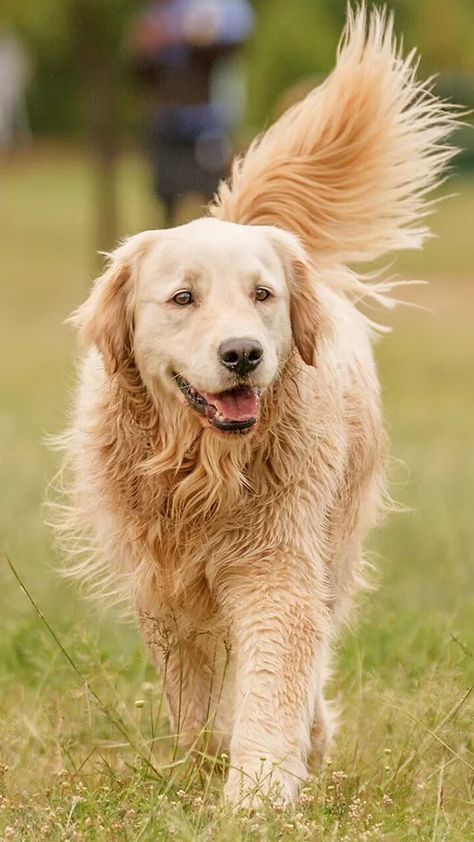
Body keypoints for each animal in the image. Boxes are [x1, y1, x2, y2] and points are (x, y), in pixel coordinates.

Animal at [53, 6, 458, 804]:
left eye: (263, 294)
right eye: (183, 298)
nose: (243, 353)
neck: (202, 466)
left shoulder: (277, 565)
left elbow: (274, 678)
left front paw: (258, 793)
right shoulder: (165, 585)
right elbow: (196, 700)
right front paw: (213, 769)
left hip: (336, 539)